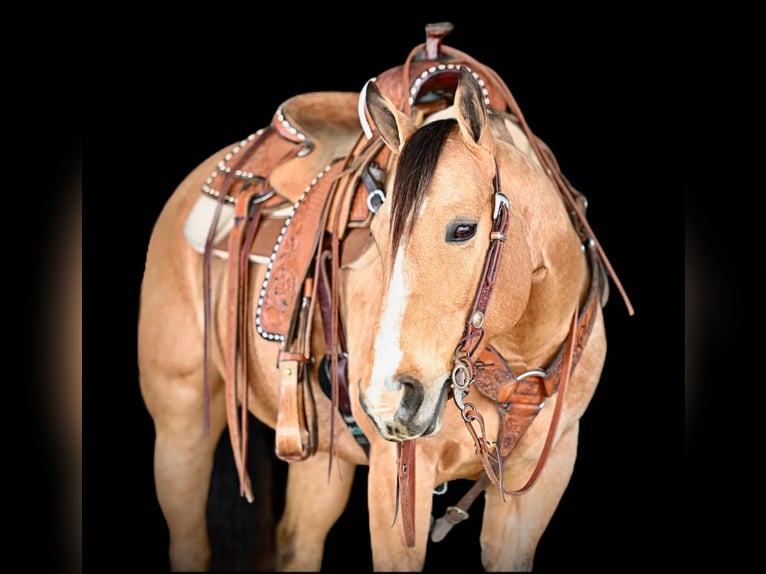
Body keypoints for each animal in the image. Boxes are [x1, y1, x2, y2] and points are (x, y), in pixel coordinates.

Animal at [138, 21, 636, 572]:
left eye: (464, 229)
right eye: (376, 233)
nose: (388, 399)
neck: (520, 356)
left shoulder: (543, 480)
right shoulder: (394, 479)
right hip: (181, 425)